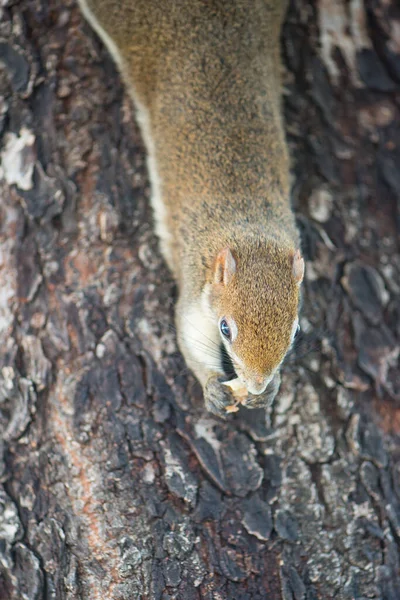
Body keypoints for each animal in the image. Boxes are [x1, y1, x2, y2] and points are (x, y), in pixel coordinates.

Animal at [77, 0, 304, 418]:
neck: (249, 230)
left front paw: (271, 389)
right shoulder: (195, 285)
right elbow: (186, 333)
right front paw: (213, 385)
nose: (256, 383)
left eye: (296, 330)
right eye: (225, 328)